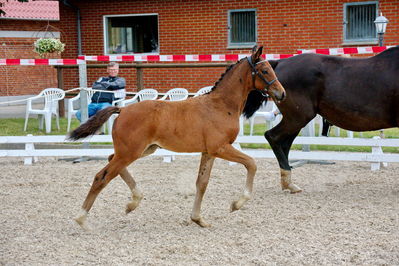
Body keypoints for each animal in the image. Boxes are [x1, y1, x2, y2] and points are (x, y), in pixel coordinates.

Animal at [69, 46, 288, 229]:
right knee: (102, 177)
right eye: (265, 71)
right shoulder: (220, 148)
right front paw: (236, 204)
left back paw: (133, 202)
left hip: (141, 150)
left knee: (110, 162)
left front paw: (198, 219)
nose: (282, 93)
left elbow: (202, 183)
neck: (220, 105)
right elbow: (251, 163)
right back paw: (82, 219)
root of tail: (122, 110)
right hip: (130, 152)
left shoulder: (209, 152)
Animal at [244, 45, 399, 193]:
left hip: (295, 119)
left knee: (283, 143)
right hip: (298, 118)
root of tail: (280, 63)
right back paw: (288, 180)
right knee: (273, 137)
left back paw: (288, 183)